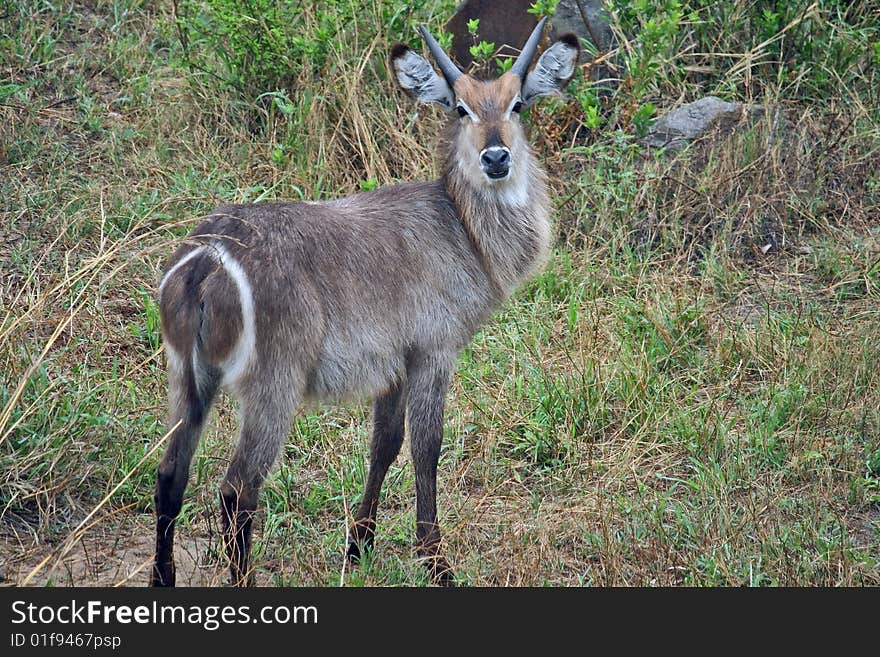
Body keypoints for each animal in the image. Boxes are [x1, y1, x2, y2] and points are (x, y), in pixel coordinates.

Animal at [151, 18, 576, 588]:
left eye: (518, 105)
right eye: (460, 108)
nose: (495, 158)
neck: (462, 229)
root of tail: (207, 257)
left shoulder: (392, 363)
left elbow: (384, 445)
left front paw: (359, 545)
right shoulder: (433, 351)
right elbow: (426, 449)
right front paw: (435, 562)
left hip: (187, 375)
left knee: (170, 473)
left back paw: (163, 579)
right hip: (272, 383)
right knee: (238, 489)